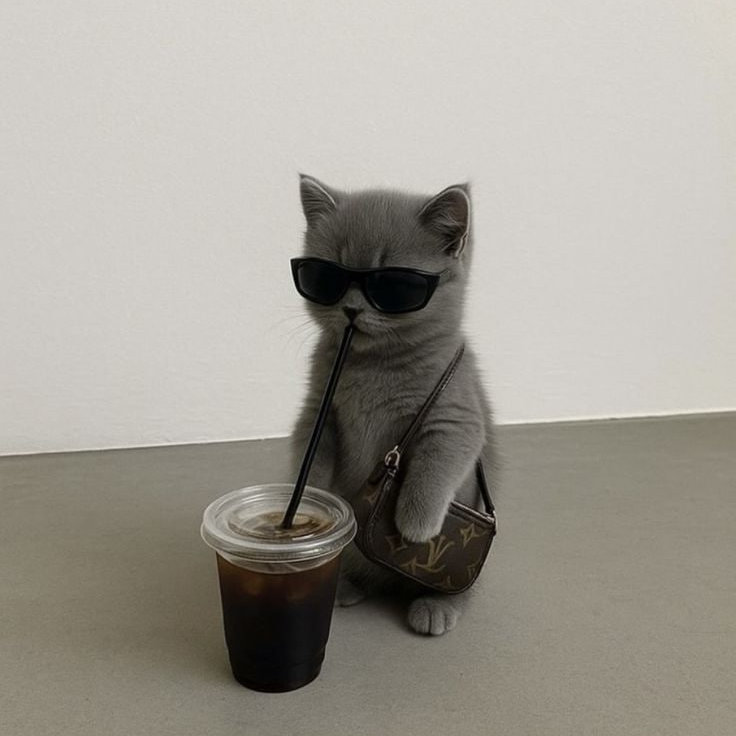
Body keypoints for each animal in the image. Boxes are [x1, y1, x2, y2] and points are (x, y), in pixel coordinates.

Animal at [291, 174, 495, 636]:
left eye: (393, 285)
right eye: (327, 276)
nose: (351, 308)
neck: (372, 366)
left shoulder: (455, 416)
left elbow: (436, 465)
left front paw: (416, 523)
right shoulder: (318, 411)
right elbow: (310, 454)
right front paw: (309, 497)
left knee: (462, 586)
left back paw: (436, 604)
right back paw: (345, 584)